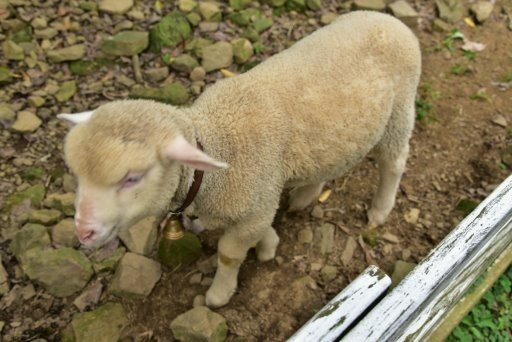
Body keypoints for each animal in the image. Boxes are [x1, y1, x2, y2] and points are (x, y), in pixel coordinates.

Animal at [59, 11, 420, 308]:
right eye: (76, 175)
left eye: (132, 178)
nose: (83, 231)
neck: (217, 146)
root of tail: (390, 20)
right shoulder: (258, 202)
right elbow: (261, 226)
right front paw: (270, 242)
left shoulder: (254, 201)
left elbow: (229, 255)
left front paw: (220, 293)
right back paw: (306, 196)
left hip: (400, 109)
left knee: (394, 161)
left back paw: (380, 209)